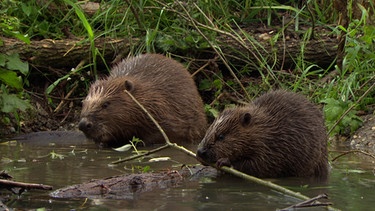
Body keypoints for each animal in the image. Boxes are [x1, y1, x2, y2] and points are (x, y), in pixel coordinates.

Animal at [197, 90, 328, 179]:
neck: (264, 128)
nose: (200, 152)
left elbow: (261, 165)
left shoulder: (273, 146)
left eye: (221, 136)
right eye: (208, 131)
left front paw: (224, 162)